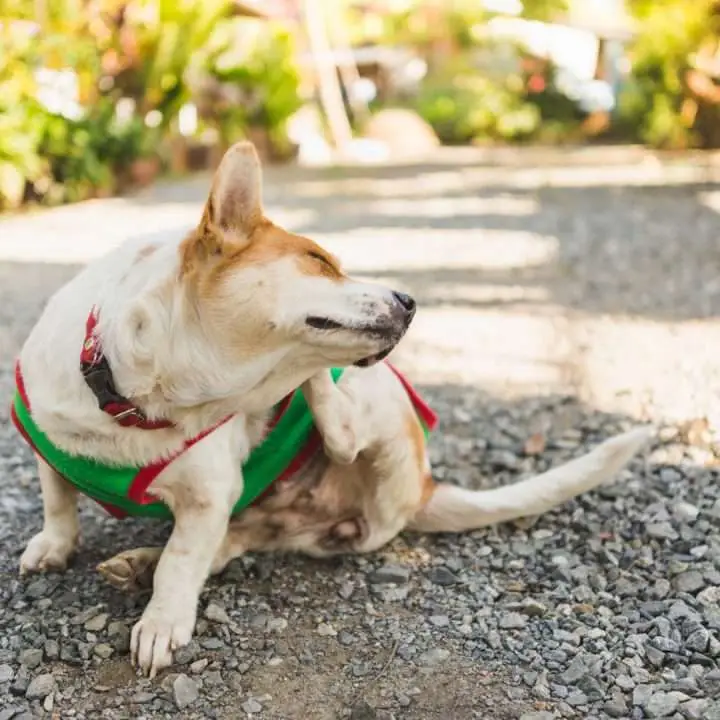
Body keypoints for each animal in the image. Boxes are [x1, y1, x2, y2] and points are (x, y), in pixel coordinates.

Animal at [12, 141, 652, 676]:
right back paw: (140, 560)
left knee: (341, 432)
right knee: (233, 542)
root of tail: (425, 485)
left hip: (381, 406)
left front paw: (163, 620)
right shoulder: (49, 440)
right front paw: (55, 545)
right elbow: (57, 498)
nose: (410, 301)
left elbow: (183, 561)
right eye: (320, 259)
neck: (137, 397)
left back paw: (312, 387)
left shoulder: (208, 496)